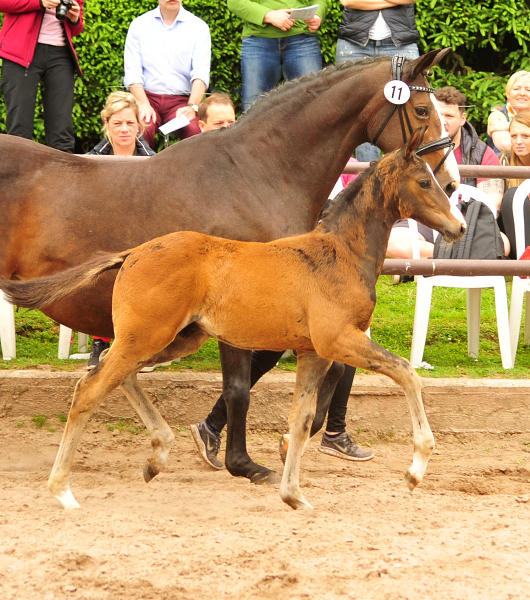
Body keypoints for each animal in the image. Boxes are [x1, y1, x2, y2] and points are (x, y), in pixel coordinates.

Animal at [0, 129, 462, 508]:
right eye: (424, 181)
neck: (340, 253)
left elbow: (301, 418)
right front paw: (415, 471)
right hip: (148, 336)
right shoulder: (338, 340)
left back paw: (157, 456)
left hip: (174, 338)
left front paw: (293, 495)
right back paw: (62, 489)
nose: (457, 227)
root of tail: (131, 253)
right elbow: (406, 373)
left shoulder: (313, 351)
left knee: (118, 376)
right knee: (89, 390)